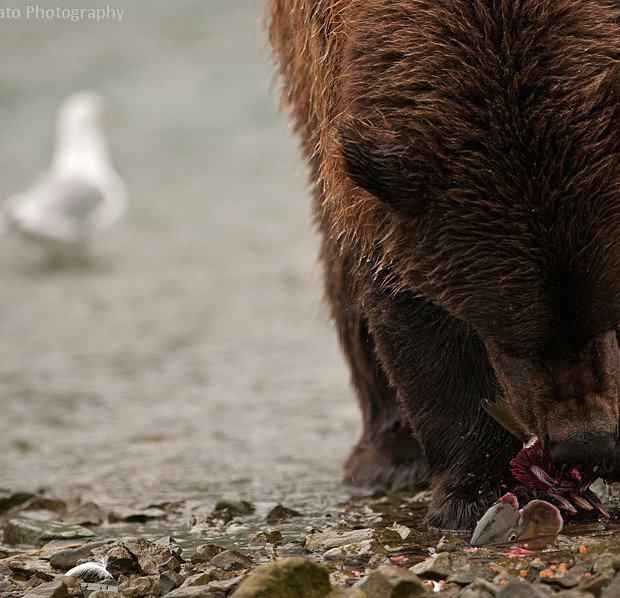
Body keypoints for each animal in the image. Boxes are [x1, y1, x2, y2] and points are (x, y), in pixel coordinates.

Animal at [266, 0, 620, 528]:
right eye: (516, 341)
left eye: (605, 313)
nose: (584, 444)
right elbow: (415, 314)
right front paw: (495, 490)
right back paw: (390, 457)